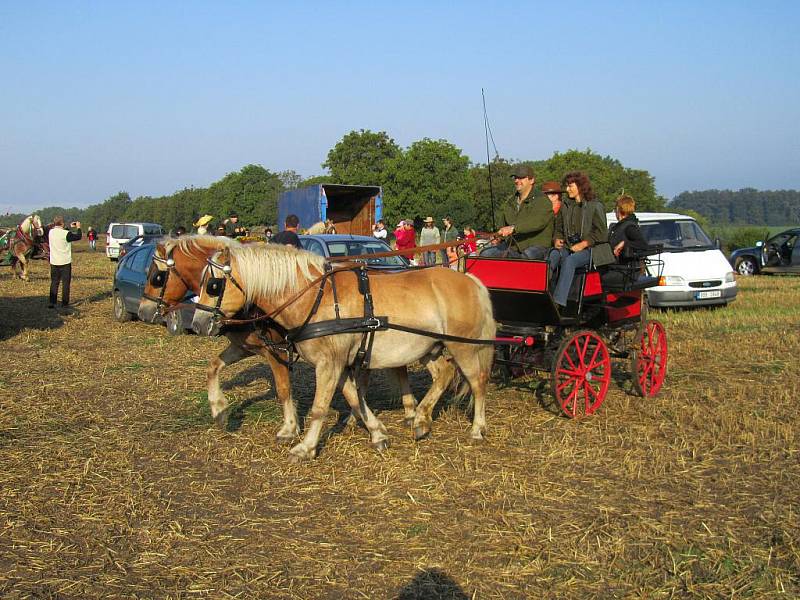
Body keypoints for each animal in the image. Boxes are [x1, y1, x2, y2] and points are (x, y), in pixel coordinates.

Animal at [139, 237, 418, 442]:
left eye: (156, 276)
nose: (143, 311)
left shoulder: (277, 351)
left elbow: (284, 389)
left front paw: (289, 428)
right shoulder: (246, 346)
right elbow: (213, 366)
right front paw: (219, 410)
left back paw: (408, 412)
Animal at [192, 241, 494, 462]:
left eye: (213, 285)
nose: (197, 324)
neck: (314, 298)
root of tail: (469, 280)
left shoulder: (328, 363)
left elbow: (319, 407)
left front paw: (305, 448)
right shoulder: (337, 363)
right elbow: (353, 397)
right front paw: (377, 433)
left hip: (463, 346)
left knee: (477, 382)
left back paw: (477, 428)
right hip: (429, 348)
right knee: (444, 373)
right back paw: (420, 418)